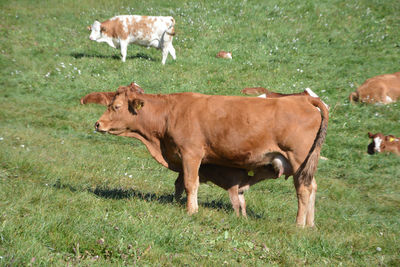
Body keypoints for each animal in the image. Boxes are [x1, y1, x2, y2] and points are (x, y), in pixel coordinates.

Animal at [85, 86, 328, 228]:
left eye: (116, 106)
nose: (97, 124)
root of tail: (303, 100)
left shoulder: (191, 153)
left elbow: (190, 183)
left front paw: (191, 211)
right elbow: (179, 184)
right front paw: (177, 203)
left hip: (298, 160)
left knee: (303, 190)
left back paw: (299, 225)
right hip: (307, 164)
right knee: (313, 187)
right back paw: (311, 224)